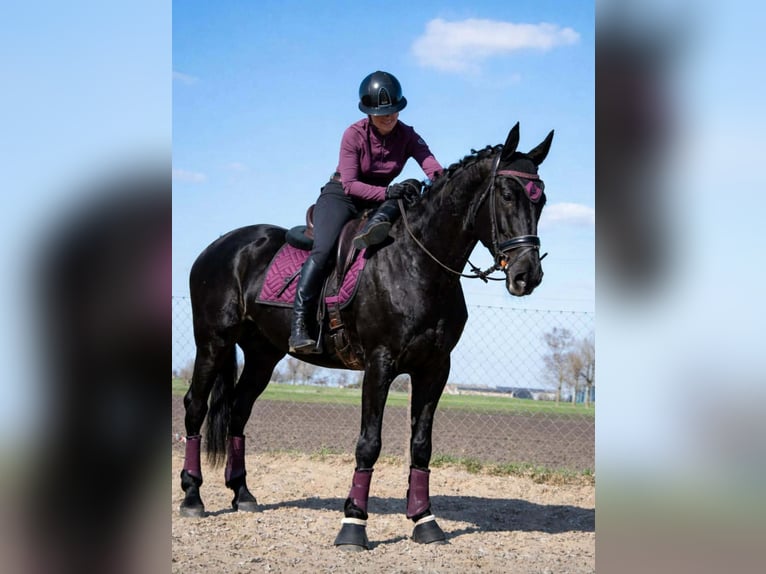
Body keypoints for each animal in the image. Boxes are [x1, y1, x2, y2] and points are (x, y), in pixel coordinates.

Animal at [179, 122, 553, 550]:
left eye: (542, 200)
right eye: (507, 194)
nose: (527, 275)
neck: (417, 263)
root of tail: (219, 245)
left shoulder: (434, 369)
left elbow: (421, 446)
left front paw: (424, 520)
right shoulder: (380, 364)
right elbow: (369, 443)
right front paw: (354, 524)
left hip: (262, 354)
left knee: (239, 411)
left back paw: (242, 494)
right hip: (213, 342)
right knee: (195, 406)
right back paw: (192, 497)